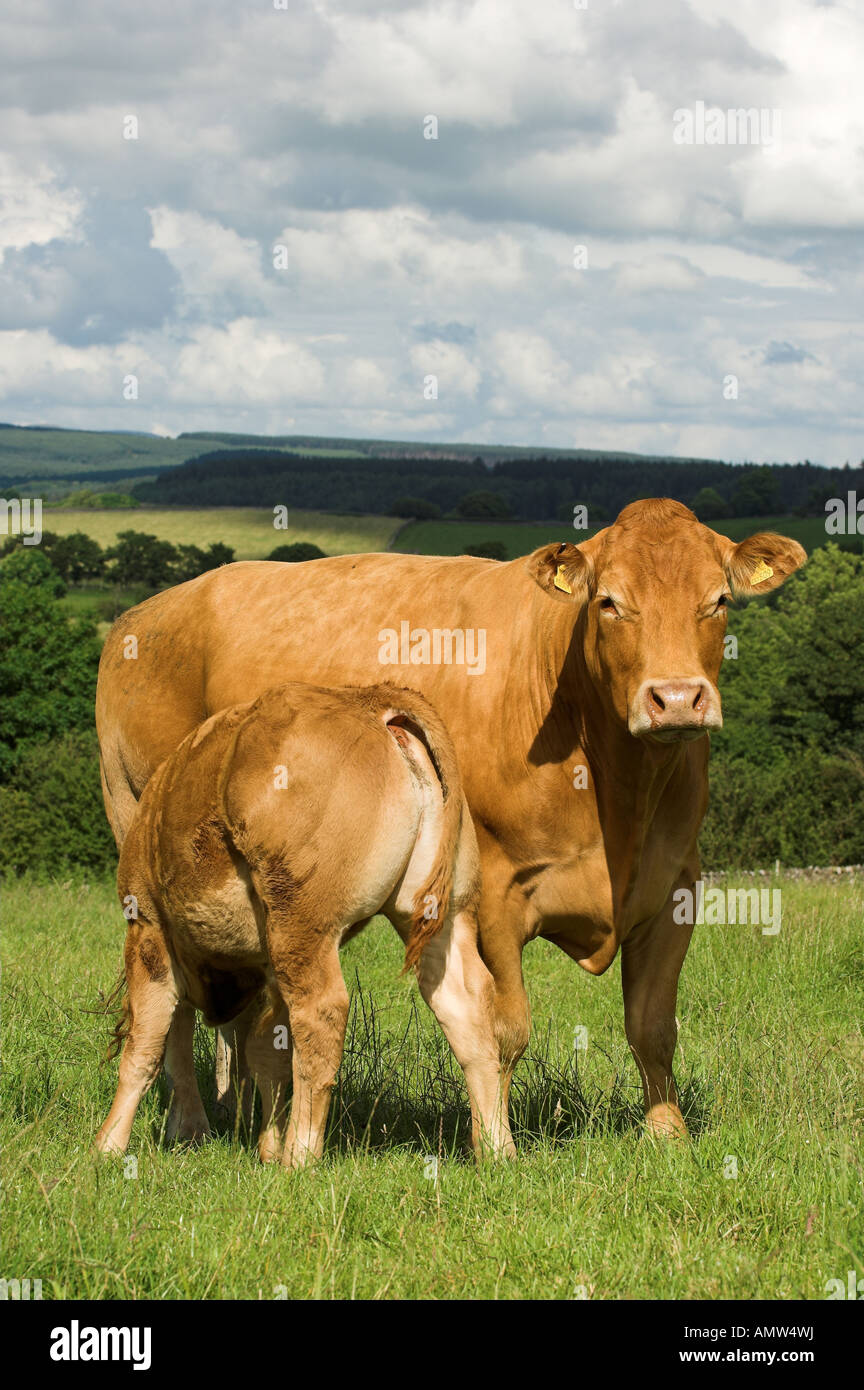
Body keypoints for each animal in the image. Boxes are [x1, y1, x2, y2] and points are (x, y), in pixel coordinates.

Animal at [95, 682, 510, 1165]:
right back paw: (496, 1150)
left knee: (322, 1012)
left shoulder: (148, 929)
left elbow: (147, 1049)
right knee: (466, 1002)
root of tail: (370, 699)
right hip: (442, 912)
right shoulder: (266, 965)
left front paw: (109, 1147)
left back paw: (301, 1156)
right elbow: (264, 1055)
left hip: (301, 920)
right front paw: (258, 1146)